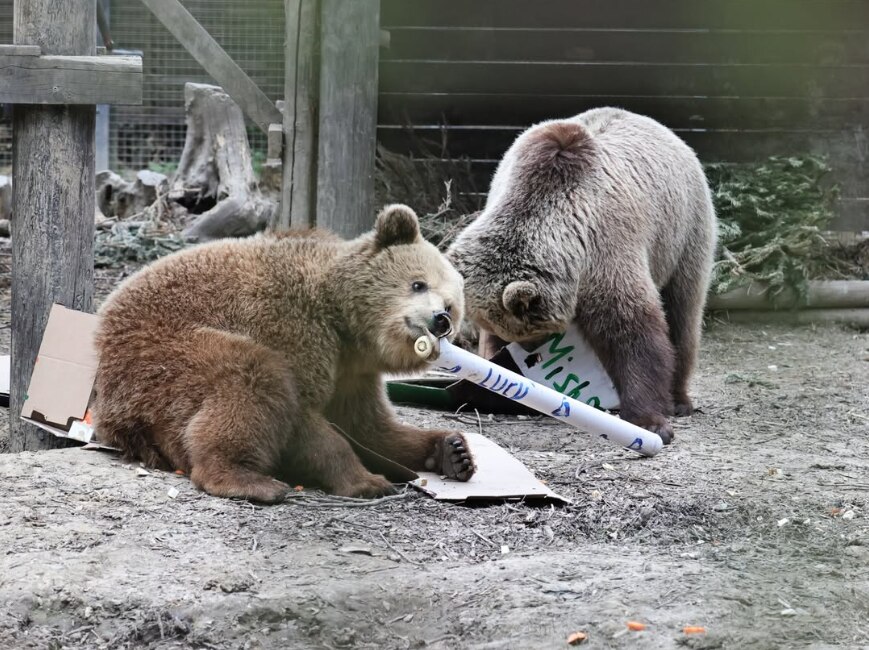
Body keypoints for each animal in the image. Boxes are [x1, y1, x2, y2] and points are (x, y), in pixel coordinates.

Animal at [91, 204, 475, 503]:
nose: (439, 320)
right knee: (251, 378)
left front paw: (452, 451)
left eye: (451, 306)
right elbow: (306, 418)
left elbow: (369, 426)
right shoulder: (291, 325)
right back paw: (249, 480)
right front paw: (367, 481)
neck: (344, 326)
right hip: (161, 352)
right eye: (417, 283)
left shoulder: (353, 374)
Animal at [447, 107, 718, 443]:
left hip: (684, 233)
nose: (528, 354)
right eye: (511, 333)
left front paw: (650, 421)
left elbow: (633, 334)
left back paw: (679, 400)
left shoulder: (606, 247)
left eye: (530, 333)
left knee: (683, 312)